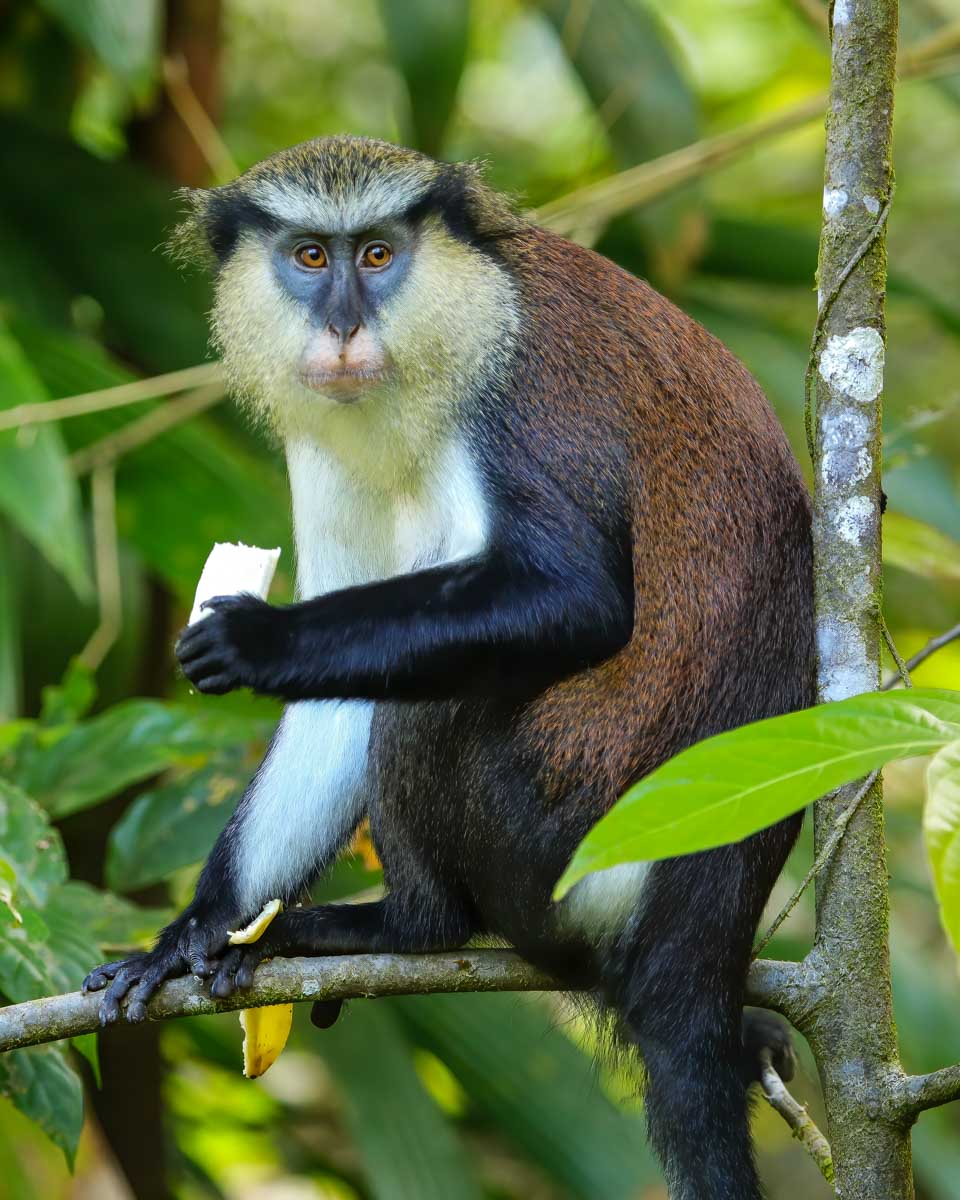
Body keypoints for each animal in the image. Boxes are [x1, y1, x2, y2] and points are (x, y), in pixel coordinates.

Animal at [83, 136, 814, 1200]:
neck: (461, 313)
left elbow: (573, 600)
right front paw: (196, 933)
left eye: (379, 254)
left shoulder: (524, 397)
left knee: (432, 704)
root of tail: (704, 909)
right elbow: (335, 703)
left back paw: (405, 929)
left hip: (551, 842)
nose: (344, 325)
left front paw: (261, 644)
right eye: (311, 255)